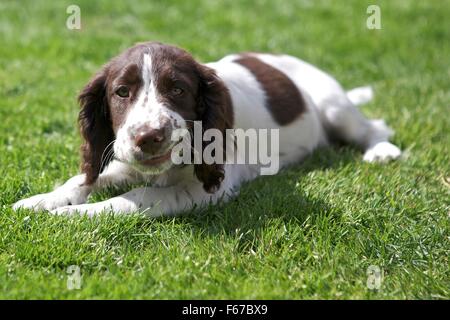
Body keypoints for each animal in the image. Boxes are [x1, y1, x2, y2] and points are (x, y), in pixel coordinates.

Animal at [13, 41, 400, 216]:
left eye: (178, 90)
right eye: (121, 92)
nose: (149, 137)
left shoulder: (208, 189)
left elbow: (137, 198)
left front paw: (71, 215)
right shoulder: (125, 160)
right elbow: (85, 178)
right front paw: (42, 201)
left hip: (333, 104)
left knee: (374, 126)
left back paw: (382, 151)